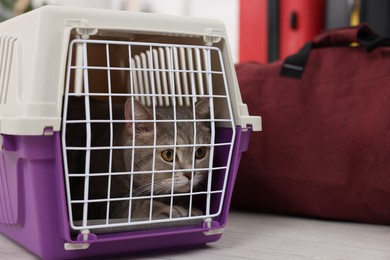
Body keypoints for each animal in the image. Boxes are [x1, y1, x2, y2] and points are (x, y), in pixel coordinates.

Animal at [67, 96, 210, 222]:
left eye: (200, 152)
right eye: (168, 154)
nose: (190, 173)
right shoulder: (90, 202)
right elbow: (133, 204)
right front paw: (166, 209)